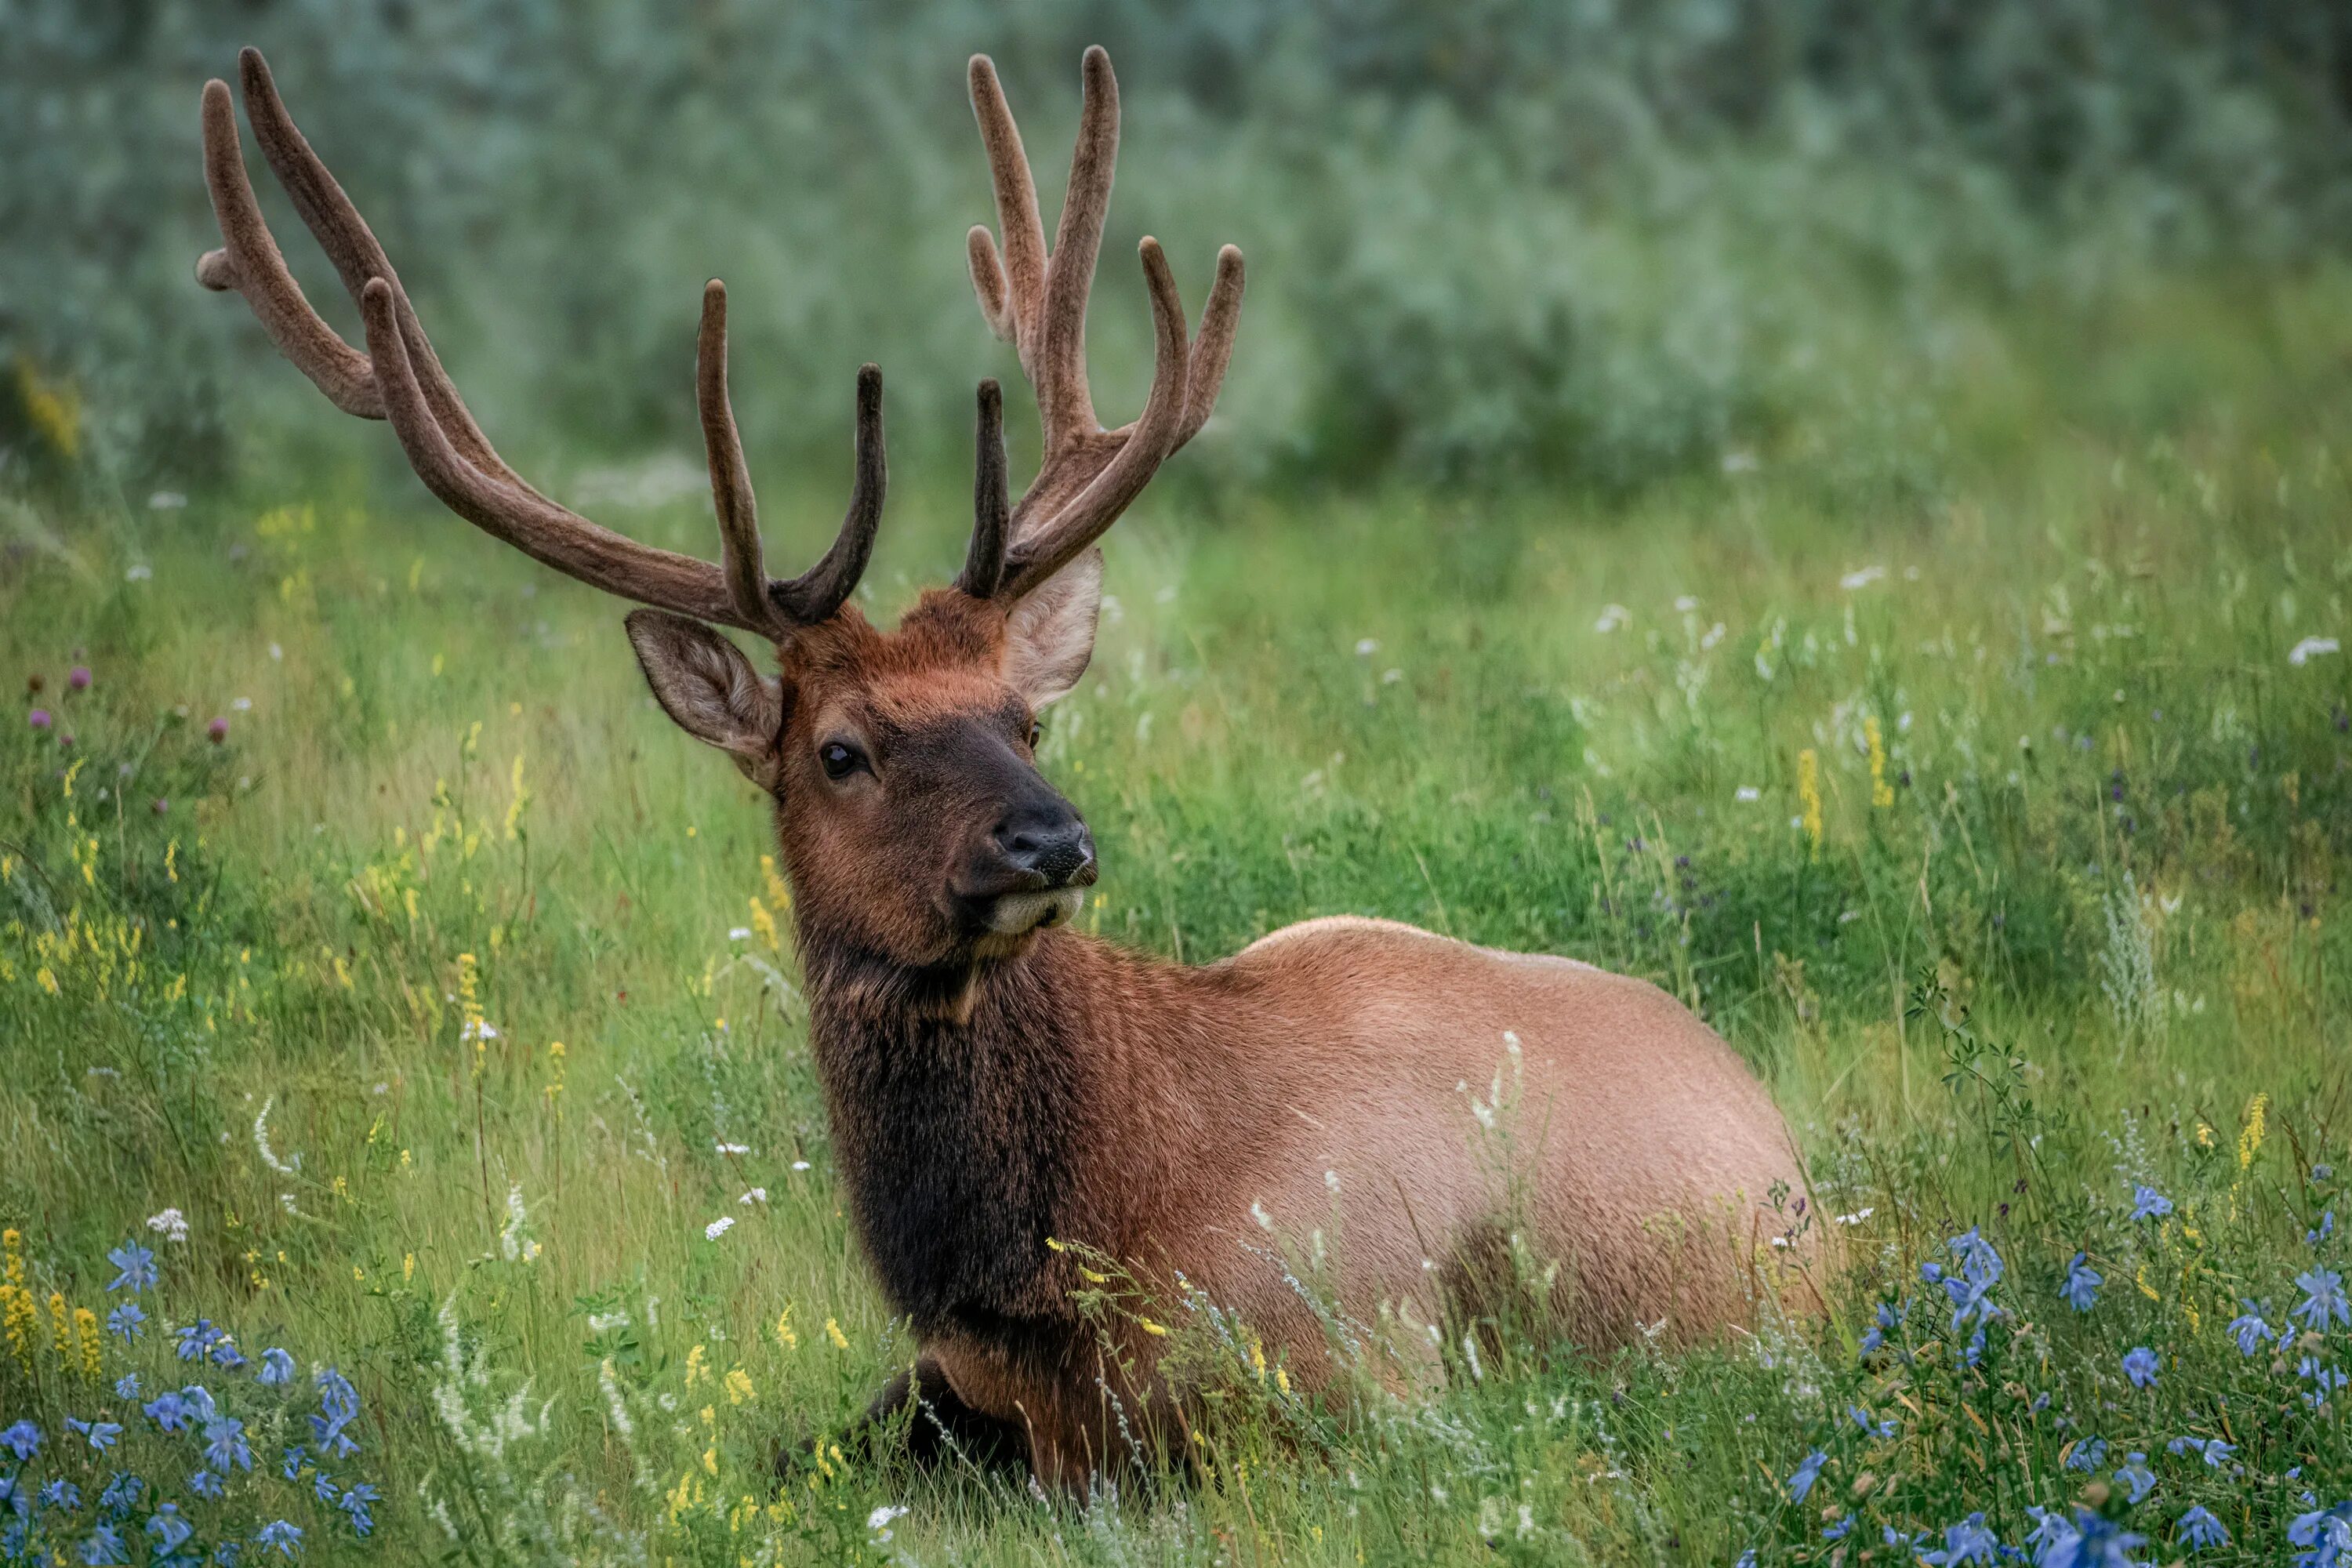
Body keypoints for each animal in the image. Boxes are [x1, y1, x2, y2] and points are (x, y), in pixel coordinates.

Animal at [202, 45, 1816, 1495]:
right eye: (842, 750)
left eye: (1020, 719)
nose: (1053, 844)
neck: (1065, 1266)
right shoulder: (948, 1385)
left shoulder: (1378, 1367)